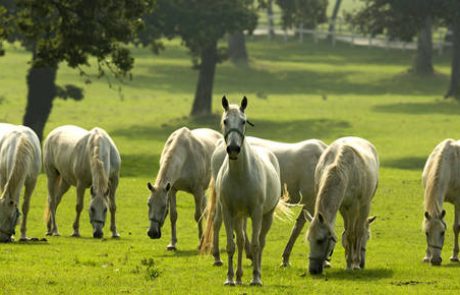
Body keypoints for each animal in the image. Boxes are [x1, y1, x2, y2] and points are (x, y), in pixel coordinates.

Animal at [203, 97, 286, 286]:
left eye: (243, 121)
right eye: (225, 121)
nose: (233, 149)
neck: (240, 176)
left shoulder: (256, 213)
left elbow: (255, 244)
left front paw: (255, 278)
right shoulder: (229, 212)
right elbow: (231, 245)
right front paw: (230, 278)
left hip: (266, 216)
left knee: (261, 242)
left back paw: (257, 272)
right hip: (239, 216)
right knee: (240, 241)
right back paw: (239, 276)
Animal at [308, 138, 380, 276]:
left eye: (320, 240)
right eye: (309, 239)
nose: (313, 270)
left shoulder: (353, 206)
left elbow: (352, 234)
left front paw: (352, 264)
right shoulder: (342, 207)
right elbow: (346, 233)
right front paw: (347, 262)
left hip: (364, 205)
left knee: (358, 230)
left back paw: (356, 263)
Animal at [422, 140, 460, 268]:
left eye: (442, 232)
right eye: (427, 233)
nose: (435, 260)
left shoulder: (457, 201)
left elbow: (456, 227)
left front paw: (454, 256)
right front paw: (427, 256)